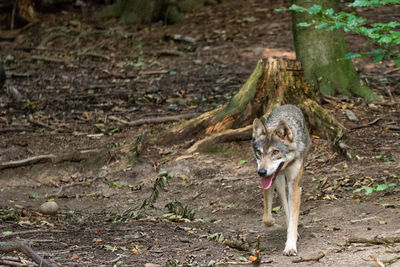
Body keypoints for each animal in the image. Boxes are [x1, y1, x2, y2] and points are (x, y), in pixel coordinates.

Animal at [252, 103, 310, 256]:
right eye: (259, 152)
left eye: (275, 152)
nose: (261, 172)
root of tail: (288, 105)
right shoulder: (268, 181)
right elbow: (267, 217)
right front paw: (271, 221)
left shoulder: (295, 187)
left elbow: (293, 219)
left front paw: (290, 246)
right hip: (279, 182)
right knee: (285, 204)